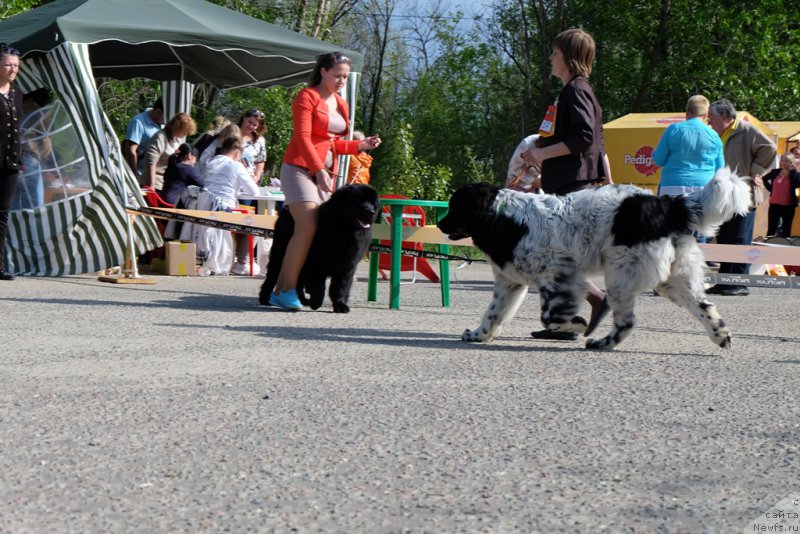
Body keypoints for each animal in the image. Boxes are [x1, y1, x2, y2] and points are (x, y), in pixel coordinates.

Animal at [258, 186, 380, 316]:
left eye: (373, 203)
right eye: (359, 200)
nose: (371, 212)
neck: (344, 230)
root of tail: (286, 211)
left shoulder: (347, 266)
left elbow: (341, 287)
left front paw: (340, 305)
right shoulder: (317, 264)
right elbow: (319, 285)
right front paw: (316, 302)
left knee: (298, 283)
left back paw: (302, 300)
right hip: (281, 254)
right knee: (272, 277)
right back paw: (265, 299)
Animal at [434, 169, 752, 352]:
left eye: (454, 206)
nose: (439, 224)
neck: (503, 217)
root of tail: (666, 205)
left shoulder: (557, 275)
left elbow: (551, 317)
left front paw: (575, 325)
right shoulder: (510, 283)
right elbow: (493, 314)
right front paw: (478, 334)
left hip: (621, 277)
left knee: (627, 321)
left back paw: (601, 342)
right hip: (672, 280)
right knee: (704, 306)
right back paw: (720, 336)